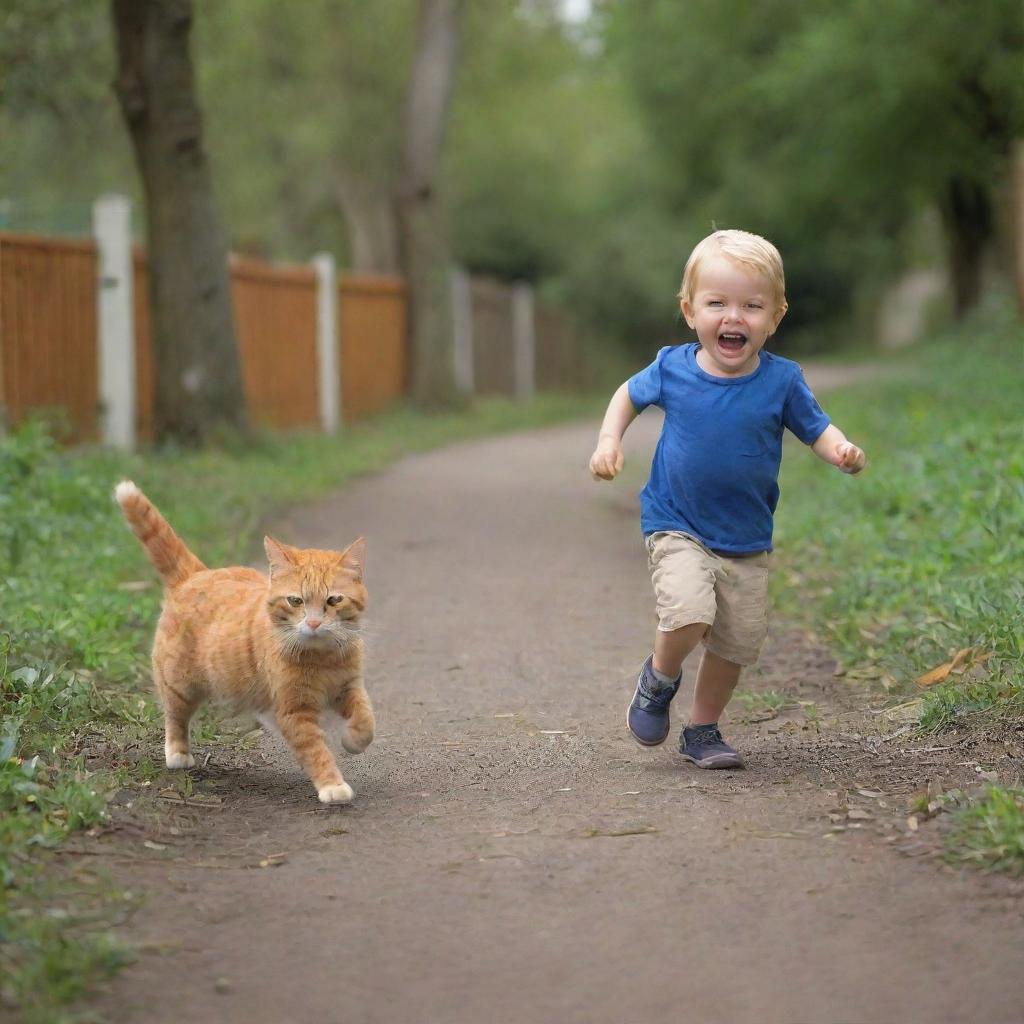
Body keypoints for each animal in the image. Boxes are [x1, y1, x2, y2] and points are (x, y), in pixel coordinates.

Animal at [116, 475, 372, 802]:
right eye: (296, 601)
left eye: (334, 600)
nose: (314, 622)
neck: (322, 657)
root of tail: (197, 574)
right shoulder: (295, 712)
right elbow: (316, 751)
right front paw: (332, 785)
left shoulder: (349, 688)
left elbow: (366, 719)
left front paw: (354, 741)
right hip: (180, 684)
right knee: (174, 717)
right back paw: (177, 753)